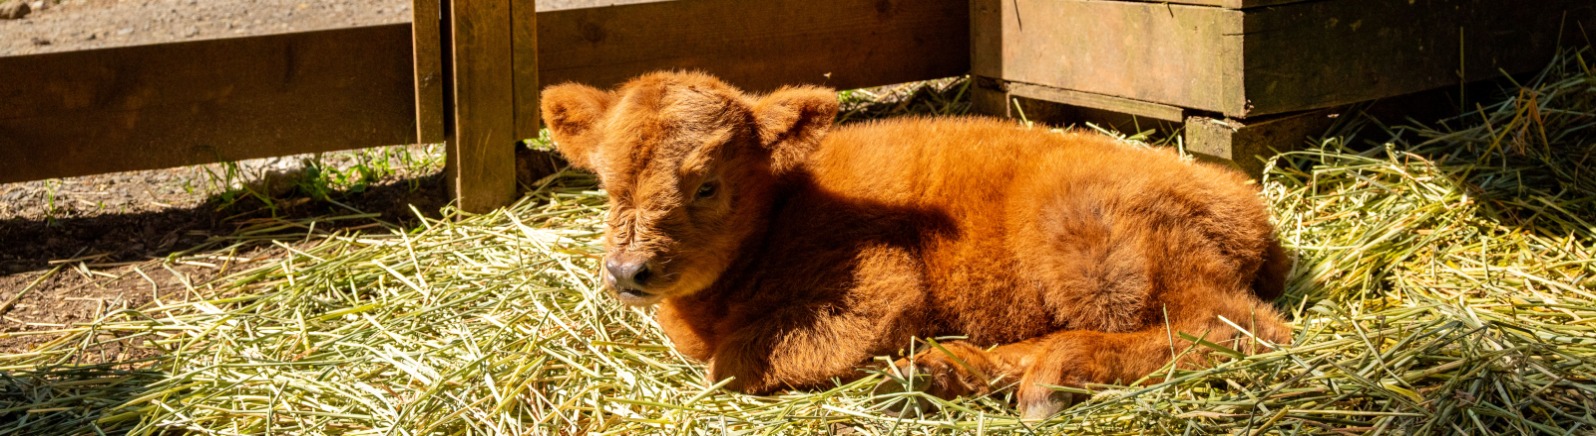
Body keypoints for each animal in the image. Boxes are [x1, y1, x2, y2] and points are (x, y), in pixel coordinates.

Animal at [540, 71, 1292, 419]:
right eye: (608, 184)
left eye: (707, 185)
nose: (628, 270)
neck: (786, 204)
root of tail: (1244, 204)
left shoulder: (874, 290)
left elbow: (733, 365)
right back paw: (940, 374)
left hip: (1108, 254)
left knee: (1234, 327)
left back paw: (1047, 377)